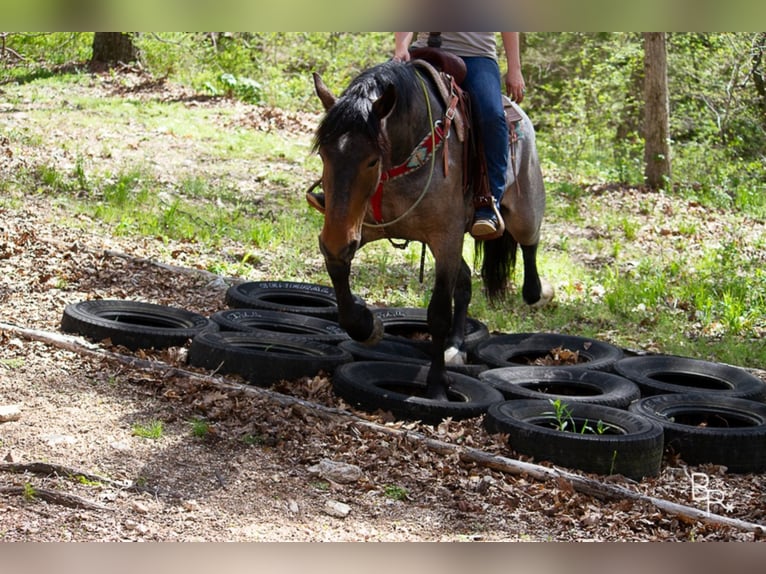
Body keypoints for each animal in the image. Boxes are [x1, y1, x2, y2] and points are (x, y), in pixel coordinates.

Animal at [314, 59, 560, 400]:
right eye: (324, 154)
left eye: (372, 161)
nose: (336, 239)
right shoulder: (359, 227)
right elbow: (339, 271)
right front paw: (366, 325)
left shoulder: (445, 238)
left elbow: (438, 313)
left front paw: (437, 386)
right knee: (465, 282)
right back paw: (456, 346)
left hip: (522, 211)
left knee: (529, 251)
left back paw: (541, 293)